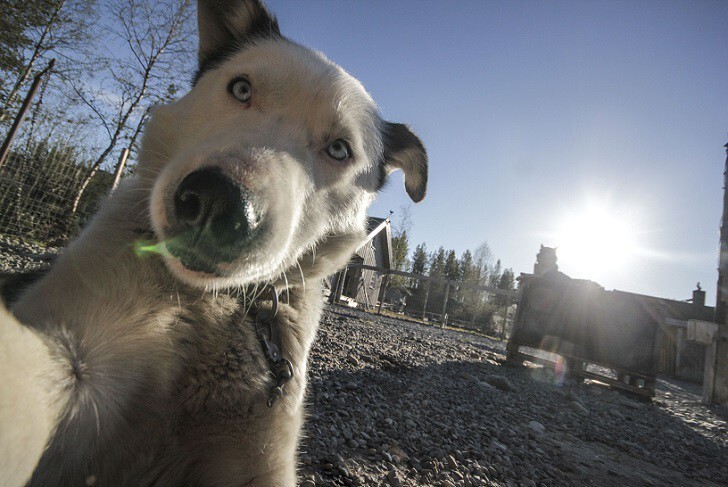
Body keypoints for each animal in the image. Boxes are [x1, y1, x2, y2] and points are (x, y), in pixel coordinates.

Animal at [0, 1, 426, 486]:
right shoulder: (77, 356)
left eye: (339, 150)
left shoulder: (261, 457)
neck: (209, 302)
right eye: (240, 88)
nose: (216, 201)